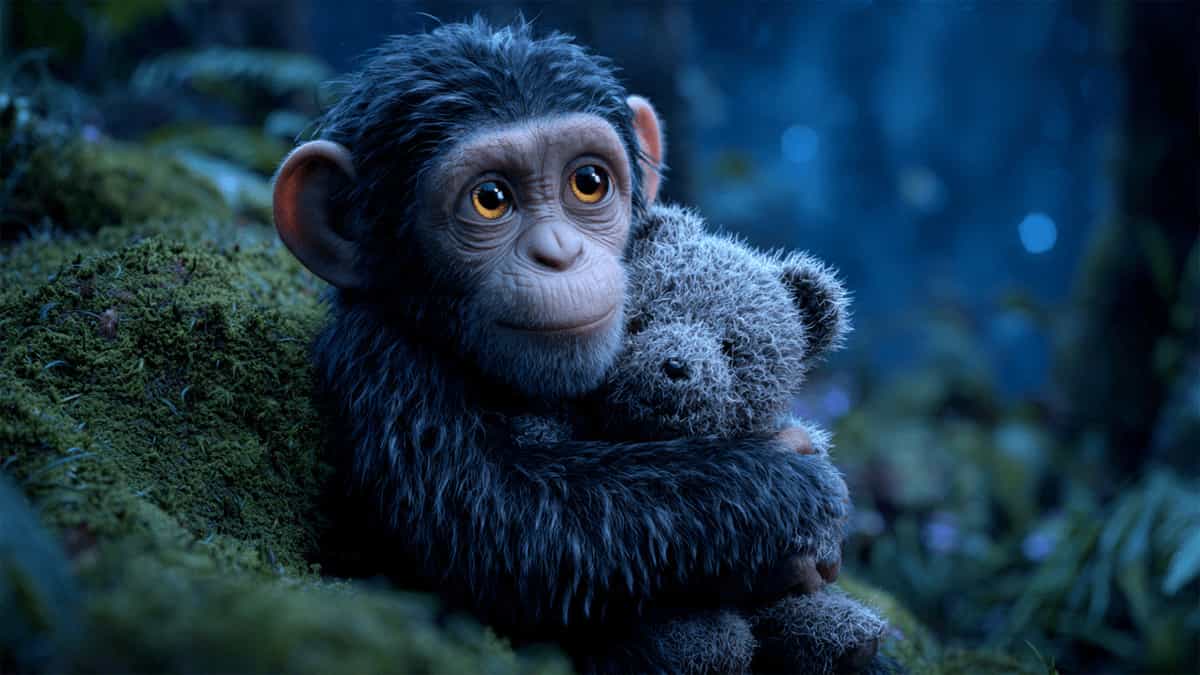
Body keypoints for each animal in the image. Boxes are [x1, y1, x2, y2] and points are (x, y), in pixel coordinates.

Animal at [272, 17, 849, 671]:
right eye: (490, 199)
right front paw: (787, 484)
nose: (559, 252)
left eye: (588, 183)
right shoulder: (383, 363)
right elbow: (504, 528)